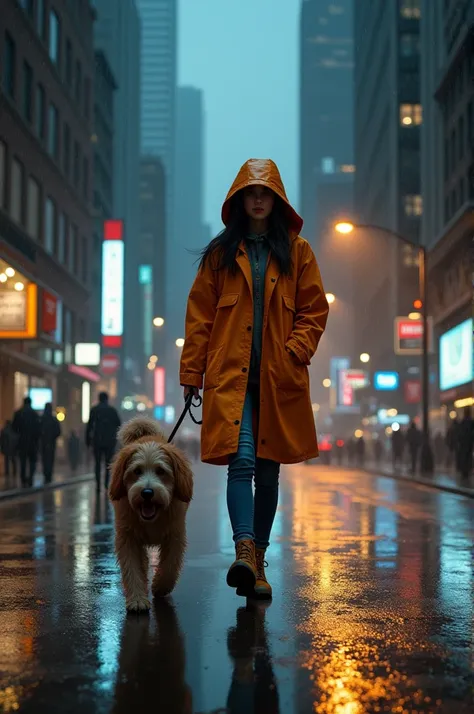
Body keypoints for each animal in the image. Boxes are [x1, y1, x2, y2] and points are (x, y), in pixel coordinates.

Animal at [109, 418, 193, 612]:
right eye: (137, 471)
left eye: (161, 471)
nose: (147, 492)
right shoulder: (128, 538)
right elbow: (132, 567)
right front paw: (137, 599)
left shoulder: (175, 535)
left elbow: (170, 565)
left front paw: (160, 586)